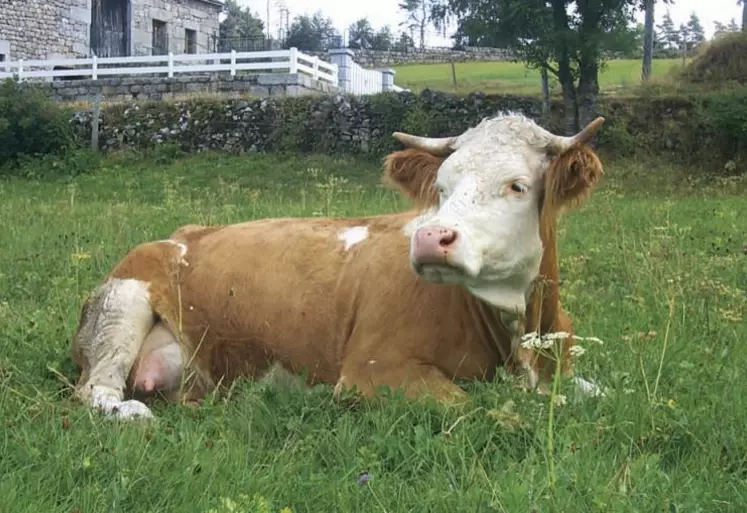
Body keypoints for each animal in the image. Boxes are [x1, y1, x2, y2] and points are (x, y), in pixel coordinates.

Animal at [70, 110, 608, 418]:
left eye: (516, 185)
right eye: (441, 187)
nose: (431, 238)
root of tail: (181, 234)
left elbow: (602, 393)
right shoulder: (376, 369)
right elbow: (483, 409)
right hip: (122, 303)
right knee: (97, 390)